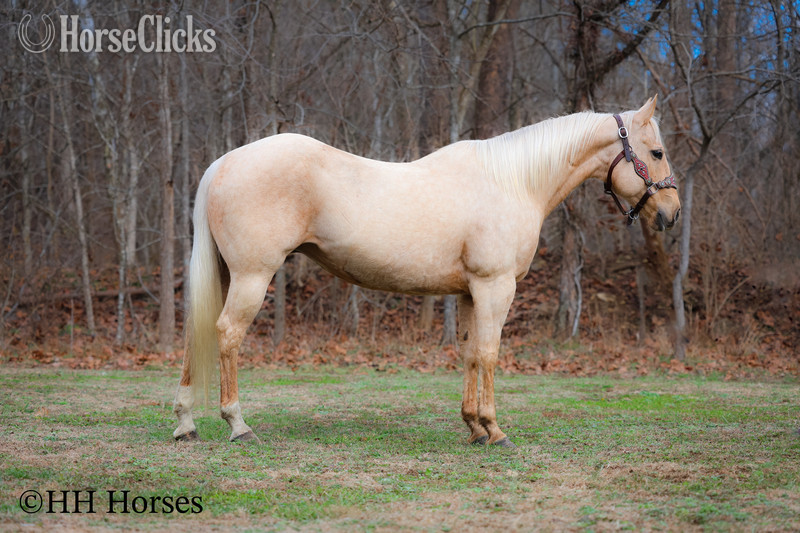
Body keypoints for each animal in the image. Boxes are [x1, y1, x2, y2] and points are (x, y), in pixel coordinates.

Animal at [172, 96, 680, 447]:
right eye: (656, 152)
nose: (671, 214)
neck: (513, 182)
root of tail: (223, 163)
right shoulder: (496, 287)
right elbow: (490, 354)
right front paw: (495, 430)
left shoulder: (472, 292)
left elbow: (471, 353)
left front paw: (474, 428)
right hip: (252, 276)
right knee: (227, 334)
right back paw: (238, 425)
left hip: (226, 275)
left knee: (197, 333)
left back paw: (185, 423)